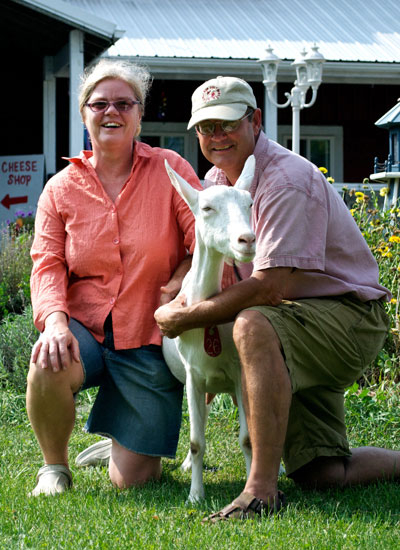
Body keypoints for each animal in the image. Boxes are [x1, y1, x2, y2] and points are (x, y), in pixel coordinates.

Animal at [161, 155, 255, 504]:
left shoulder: (240, 374)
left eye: (249, 203)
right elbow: (195, 440)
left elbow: (247, 438)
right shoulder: (193, 377)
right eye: (207, 208)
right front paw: (195, 495)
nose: (247, 240)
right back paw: (188, 466)